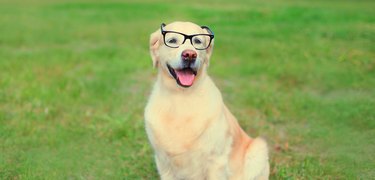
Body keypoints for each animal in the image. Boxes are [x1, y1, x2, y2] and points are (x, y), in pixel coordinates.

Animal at [144, 21, 270, 179]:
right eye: (172, 40)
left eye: (198, 41)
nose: (190, 55)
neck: (182, 97)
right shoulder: (163, 162)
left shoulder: (216, 161)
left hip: (259, 149)